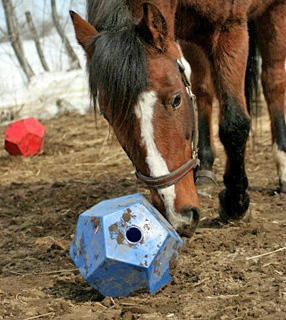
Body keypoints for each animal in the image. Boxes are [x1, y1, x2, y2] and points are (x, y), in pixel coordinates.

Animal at [70, 0, 286, 235]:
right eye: (107, 115)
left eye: (176, 99)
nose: (177, 216)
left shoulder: (230, 26)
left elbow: (234, 124)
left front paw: (235, 204)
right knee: (203, 88)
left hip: (273, 14)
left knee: (273, 81)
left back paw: (282, 165)